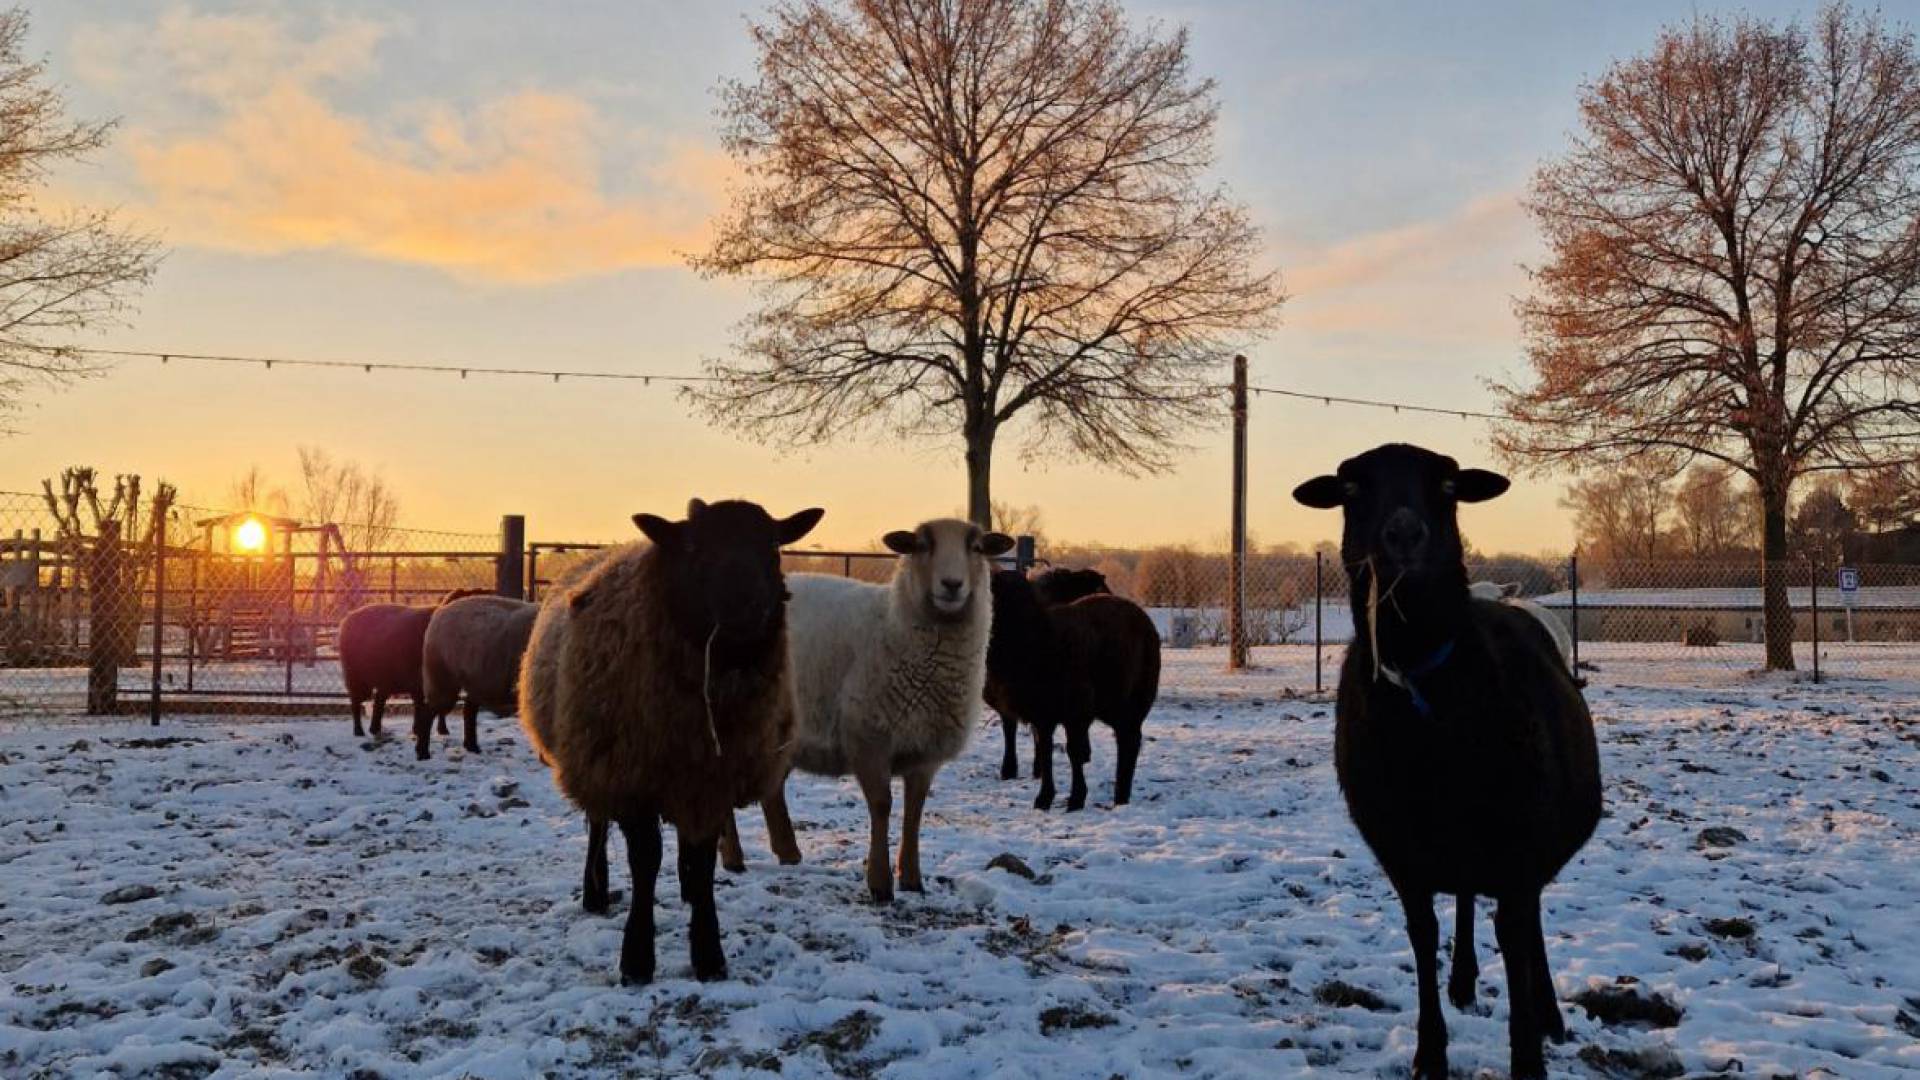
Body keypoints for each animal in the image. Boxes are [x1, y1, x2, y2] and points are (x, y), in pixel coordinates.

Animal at [337, 588, 491, 737]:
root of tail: (347, 619)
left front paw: (442, 730)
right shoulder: (421, 681)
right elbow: (420, 705)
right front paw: (419, 730)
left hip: (384, 679)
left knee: (378, 700)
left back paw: (375, 729)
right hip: (355, 676)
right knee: (356, 701)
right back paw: (359, 731)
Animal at [522, 495, 821, 983]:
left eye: (773, 545)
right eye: (695, 547)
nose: (744, 604)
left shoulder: (712, 780)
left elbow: (702, 864)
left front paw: (709, 955)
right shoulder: (631, 776)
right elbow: (645, 861)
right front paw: (637, 959)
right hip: (593, 752)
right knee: (598, 824)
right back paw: (595, 893)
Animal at [721, 518, 1021, 899]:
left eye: (977, 548)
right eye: (922, 545)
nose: (952, 585)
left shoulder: (925, 749)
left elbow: (914, 811)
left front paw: (912, 879)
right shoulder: (869, 736)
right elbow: (882, 806)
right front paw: (879, 884)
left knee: (772, 789)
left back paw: (788, 852)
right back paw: (733, 858)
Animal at [990, 572, 1152, 807]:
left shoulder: (1077, 710)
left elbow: (1073, 751)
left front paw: (1076, 798)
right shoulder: (1041, 714)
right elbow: (1045, 750)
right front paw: (1044, 798)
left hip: (1135, 699)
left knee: (1129, 741)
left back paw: (1121, 796)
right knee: (1126, 738)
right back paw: (1121, 794)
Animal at [1290, 441, 1605, 1076]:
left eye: (1449, 486)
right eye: (1351, 488)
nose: (1404, 534)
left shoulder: (1517, 848)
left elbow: (1515, 937)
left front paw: (1528, 1053)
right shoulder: (1402, 851)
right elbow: (1424, 934)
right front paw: (1429, 1054)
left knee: (1528, 924)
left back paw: (1549, 1013)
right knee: (1464, 899)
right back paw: (1462, 983)